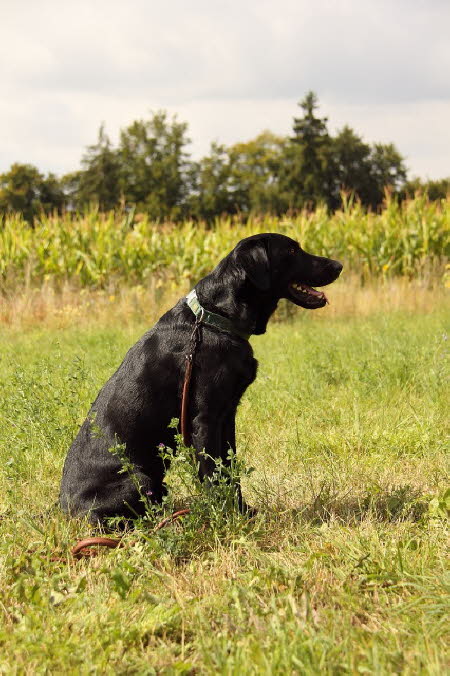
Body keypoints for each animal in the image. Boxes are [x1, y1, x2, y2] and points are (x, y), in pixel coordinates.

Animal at [59, 234, 342, 524]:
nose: (338, 265)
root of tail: (64, 510)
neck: (215, 319)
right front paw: (225, 517)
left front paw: (242, 513)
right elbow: (213, 476)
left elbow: (230, 470)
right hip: (140, 480)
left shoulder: (227, 416)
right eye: (292, 250)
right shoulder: (204, 420)